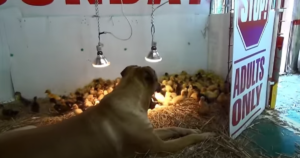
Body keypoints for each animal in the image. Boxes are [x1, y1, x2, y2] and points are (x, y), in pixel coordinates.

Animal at [0, 65, 216, 157]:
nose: (162, 85)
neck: (131, 98)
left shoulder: (153, 134)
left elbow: (174, 128)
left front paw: (193, 129)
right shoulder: (159, 146)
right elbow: (186, 139)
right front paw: (205, 134)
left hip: (26, 127)